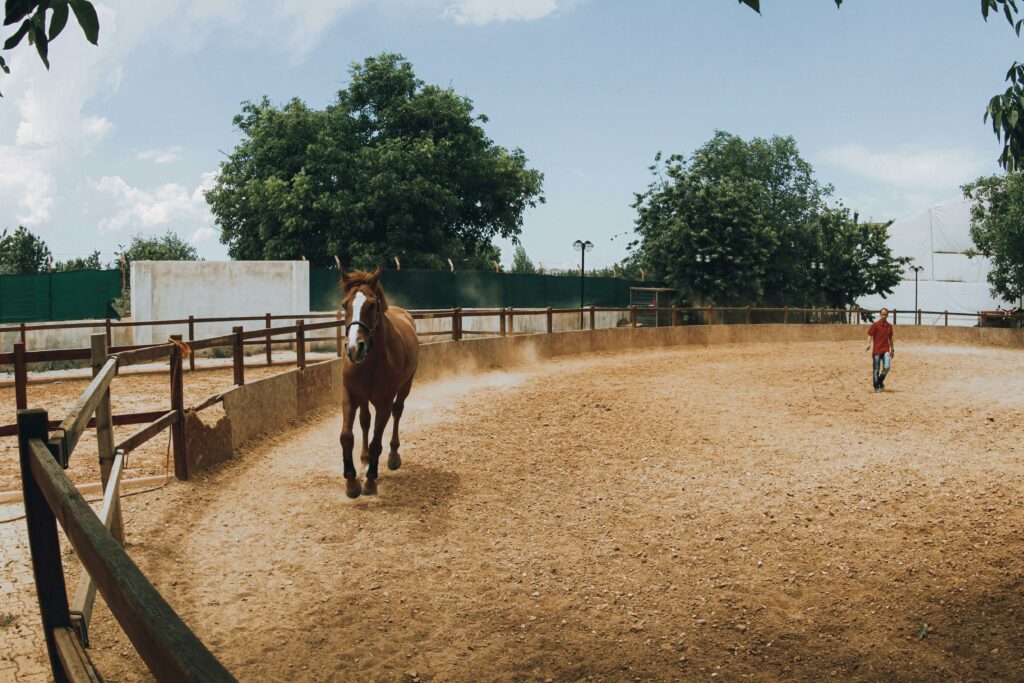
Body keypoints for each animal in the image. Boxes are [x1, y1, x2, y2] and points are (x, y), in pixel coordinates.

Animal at [335, 266, 415, 497]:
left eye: (371, 304)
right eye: (344, 304)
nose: (355, 348)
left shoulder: (384, 402)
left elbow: (376, 443)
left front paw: (370, 482)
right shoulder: (349, 395)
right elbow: (347, 436)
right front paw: (351, 482)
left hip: (405, 387)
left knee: (398, 411)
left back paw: (393, 456)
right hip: (363, 398)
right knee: (364, 421)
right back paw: (363, 462)